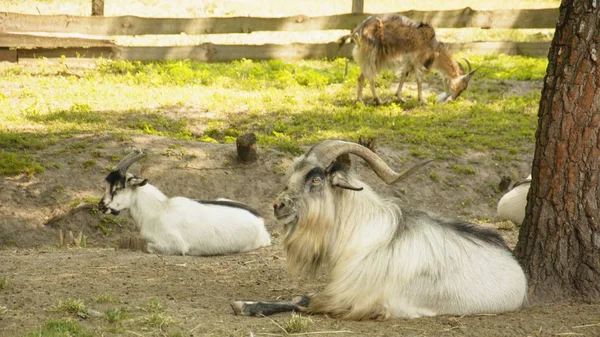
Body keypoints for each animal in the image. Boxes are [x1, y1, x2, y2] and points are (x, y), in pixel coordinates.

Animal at [99, 150, 272, 255]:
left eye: (118, 188)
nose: (101, 206)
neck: (159, 209)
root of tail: (261, 222)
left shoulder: (175, 245)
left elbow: (148, 246)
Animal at [232, 140, 528, 318]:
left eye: (315, 179)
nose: (277, 205)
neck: (359, 235)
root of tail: (519, 274)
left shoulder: (350, 298)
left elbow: (303, 300)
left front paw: (244, 304)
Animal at [340, 13, 476, 104]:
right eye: (462, 87)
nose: (453, 99)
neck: (433, 46)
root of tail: (357, 32)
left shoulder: (409, 61)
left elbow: (403, 75)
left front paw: (400, 97)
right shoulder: (418, 59)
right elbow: (419, 79)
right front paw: (422, 99)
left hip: (368, 57)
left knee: (361, 77)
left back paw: (360, 100)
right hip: (373, 55)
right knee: (370, 76)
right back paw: (377, 100)